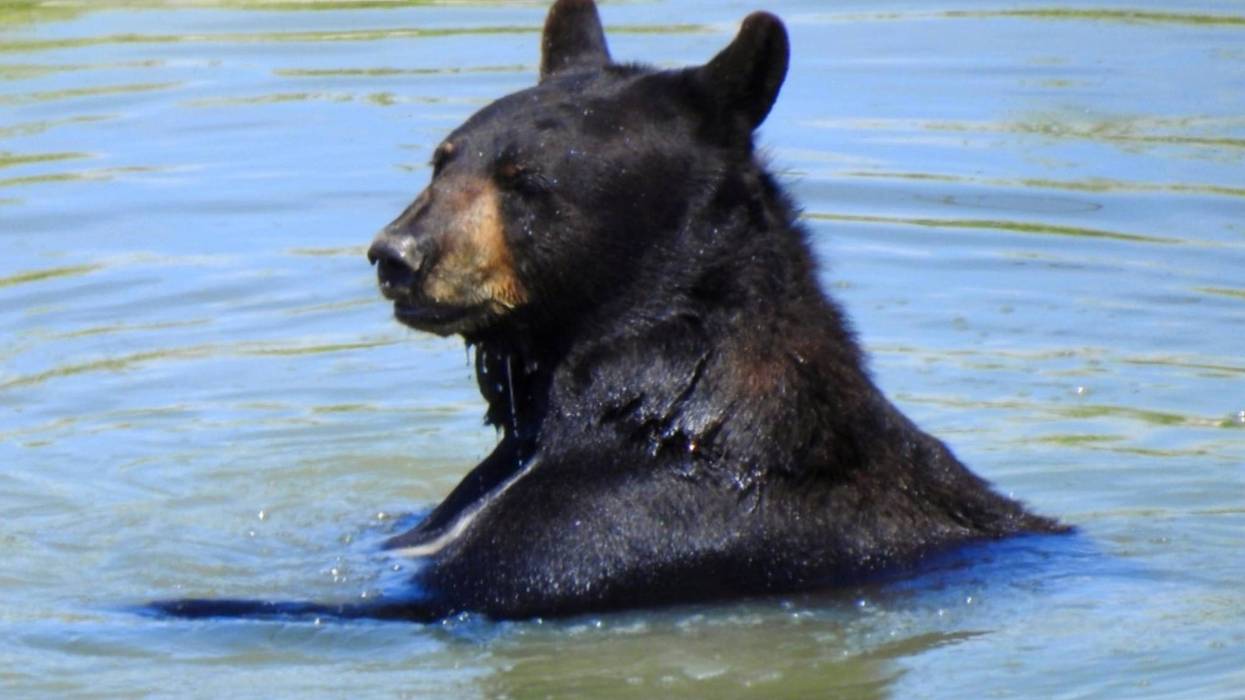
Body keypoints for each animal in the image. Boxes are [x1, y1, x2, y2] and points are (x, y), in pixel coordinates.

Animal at [152, 0, 1067, 623]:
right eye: (443, 158)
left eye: (524, 181)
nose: (396, 256)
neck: (651, 397)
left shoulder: (618, 529)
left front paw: (181, 602)